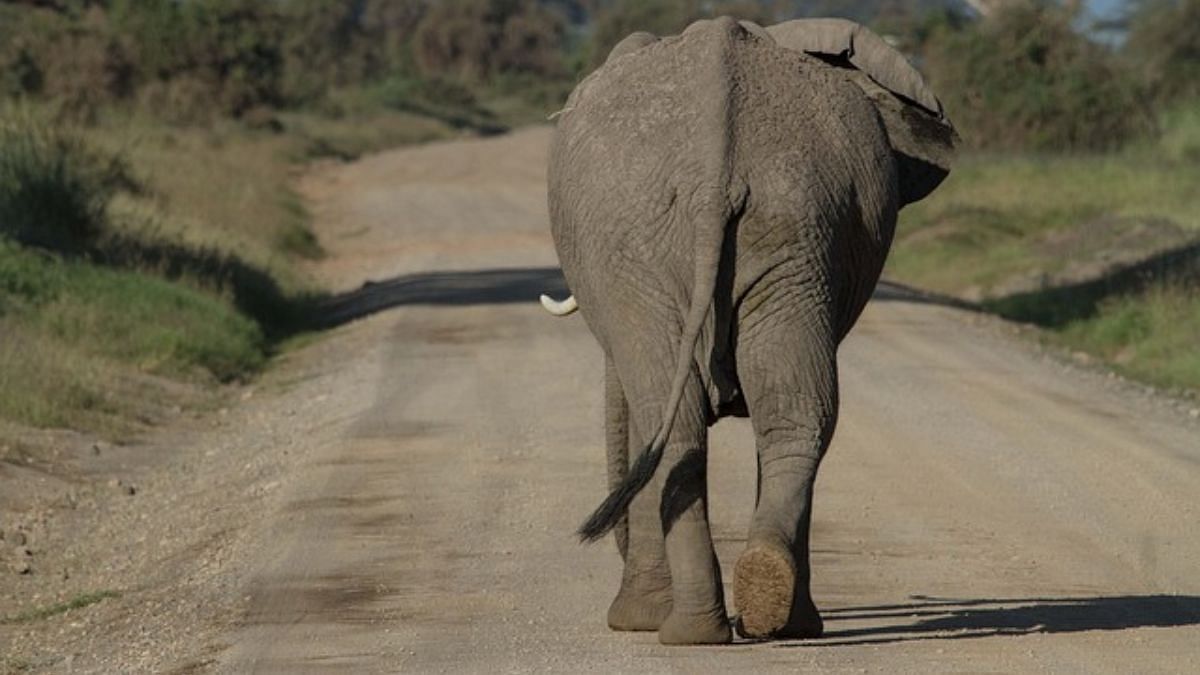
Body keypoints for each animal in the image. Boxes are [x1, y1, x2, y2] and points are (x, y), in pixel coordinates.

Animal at [549, 18, 960, 643]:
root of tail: (713, 172)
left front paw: (633, 621)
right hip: (794, 227)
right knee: (793, 413)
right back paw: (770, 609)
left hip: (654, 247)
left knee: (674, 422)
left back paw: (684, 629)